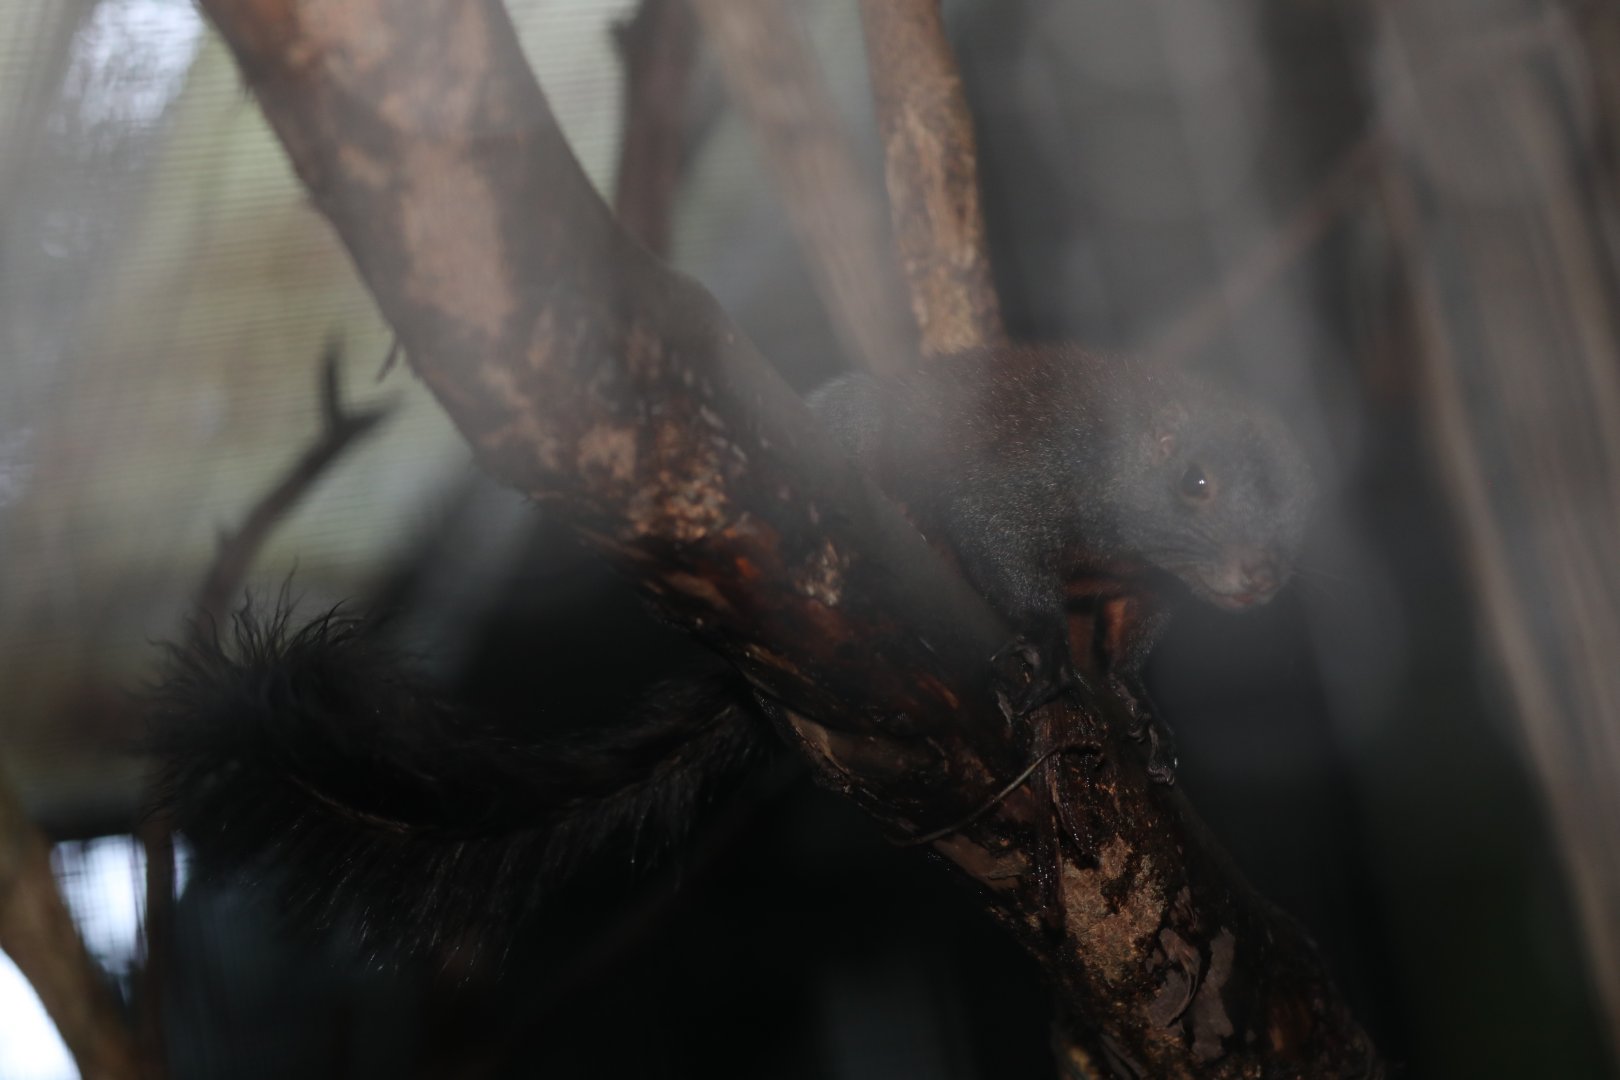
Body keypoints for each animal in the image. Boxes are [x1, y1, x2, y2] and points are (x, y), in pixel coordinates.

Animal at [150, 343, 1313, 963]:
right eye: (1196, 484)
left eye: (1296, 497)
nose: (1262, 576)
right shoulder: (1019, 481)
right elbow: (1004, 562)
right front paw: (1045, 662)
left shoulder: (1134, 589)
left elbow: (1131, 650)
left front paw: (1140, 712)